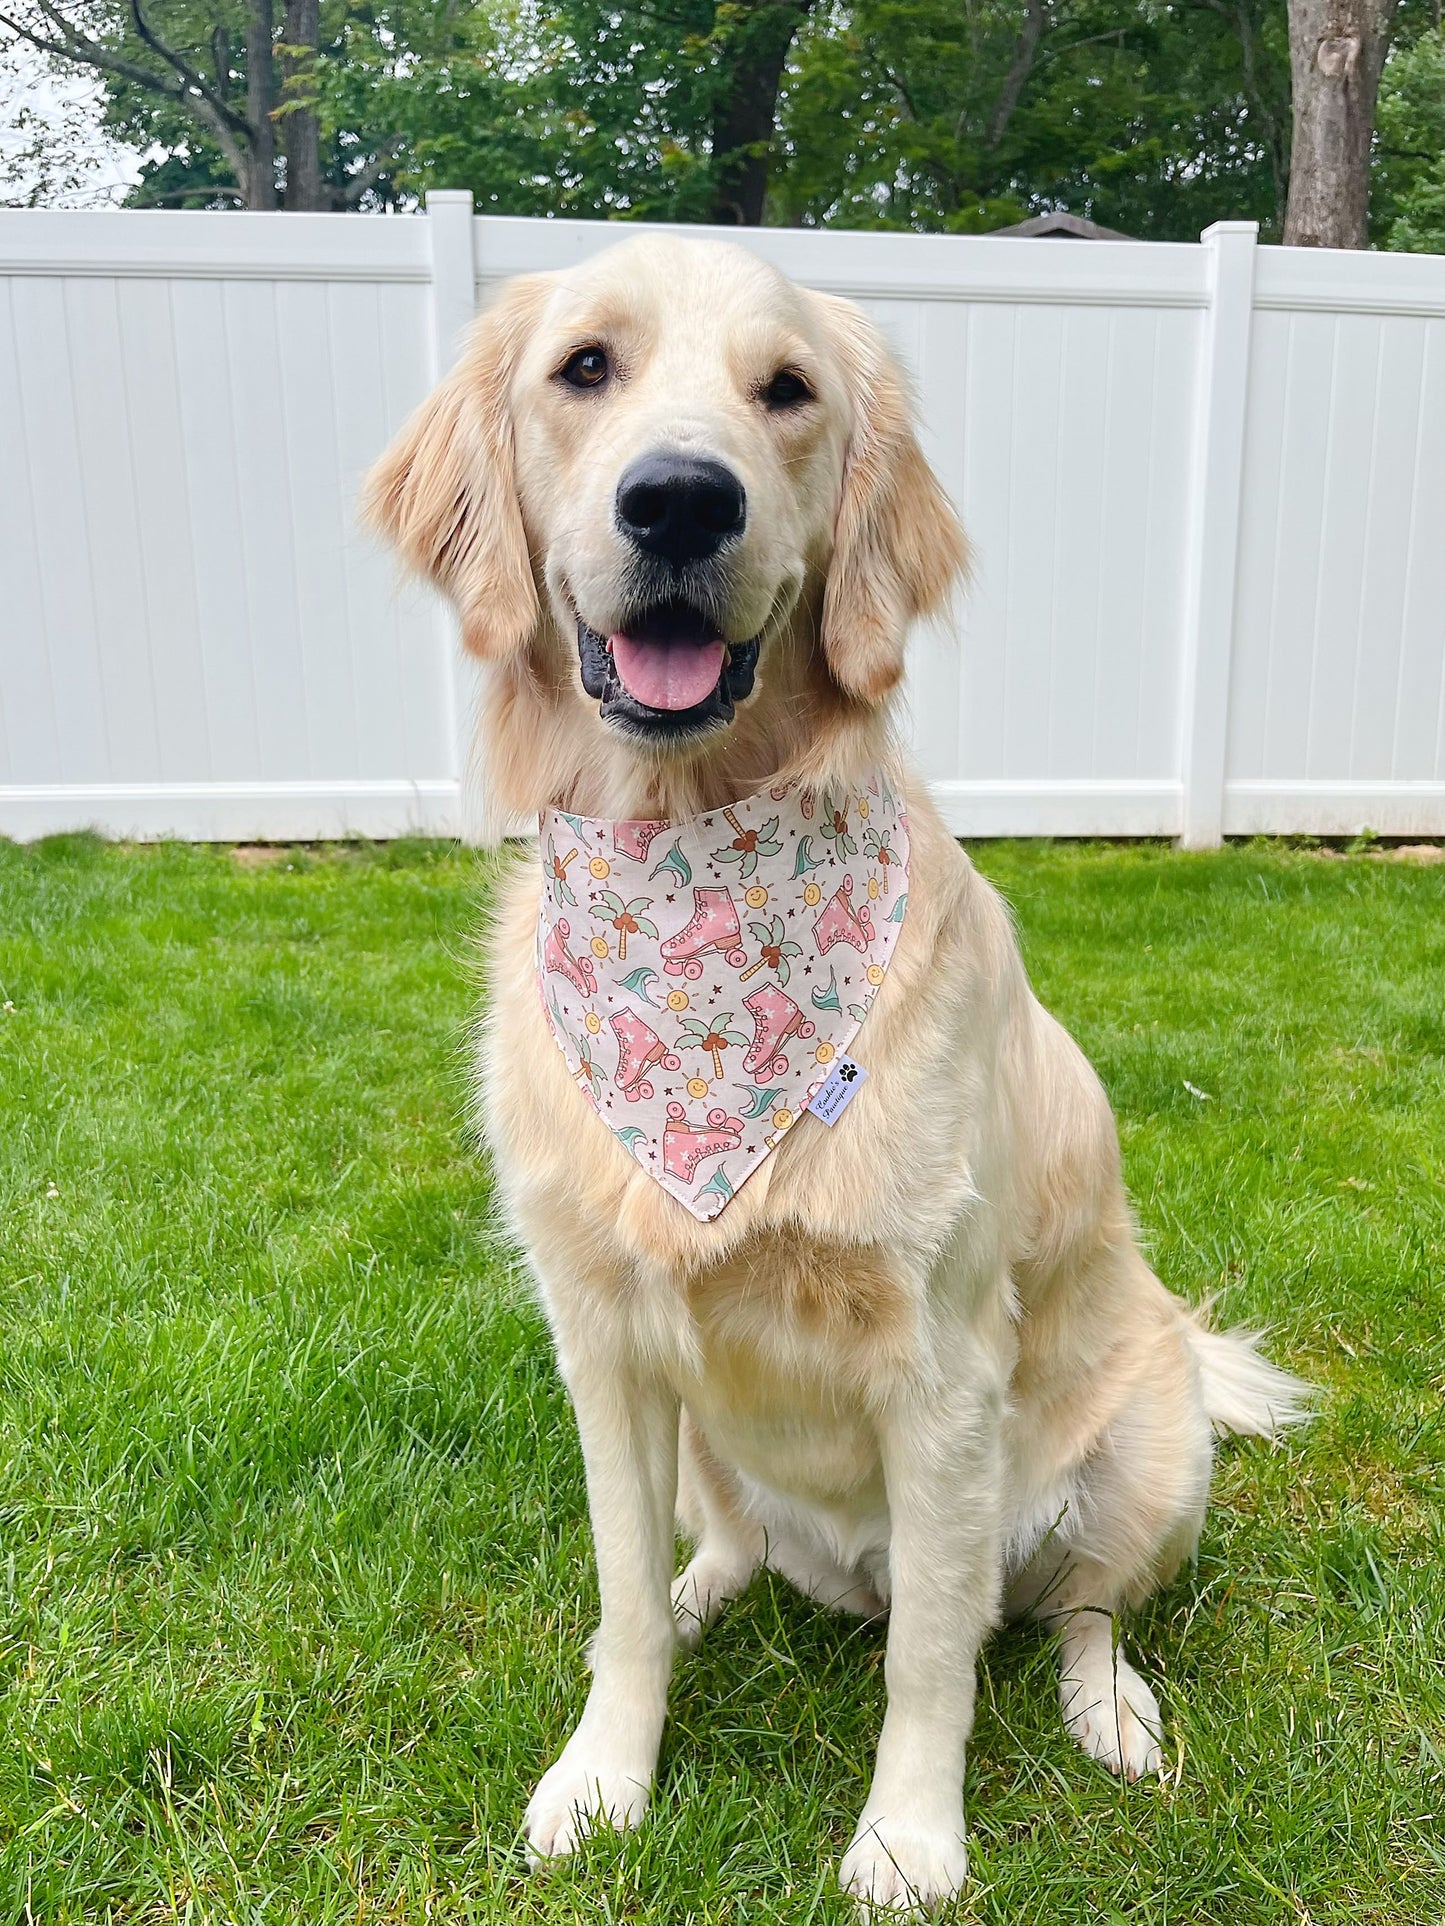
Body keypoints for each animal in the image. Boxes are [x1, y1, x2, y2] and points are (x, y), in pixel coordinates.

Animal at [364, 233, 1310, 1918]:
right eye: (585, 367)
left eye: (787, 389)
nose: (681, 500)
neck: (688, 849)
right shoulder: (599, 1341)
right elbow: (620, 1598)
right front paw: (602, 1774)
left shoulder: (940, 1367)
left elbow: (934, 1655)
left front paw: (909, 1838)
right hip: (709, 1451)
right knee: (725, 1553)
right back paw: (705, 1590)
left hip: (1152, 1445)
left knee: (1073, 1608)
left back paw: (1113, 1708)